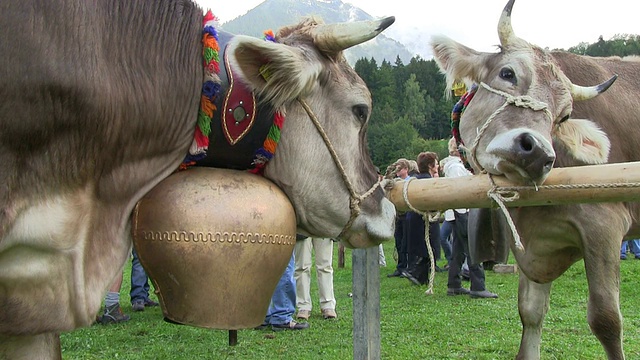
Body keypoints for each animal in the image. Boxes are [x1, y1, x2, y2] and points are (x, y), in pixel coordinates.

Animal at [430, 0, 640, 360]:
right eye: (507, 73)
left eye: (564, 115)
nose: (538, 152)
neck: (533, 214)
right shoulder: (536, 244)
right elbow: (529, 312)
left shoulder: (605, 225)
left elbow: (606, 320)